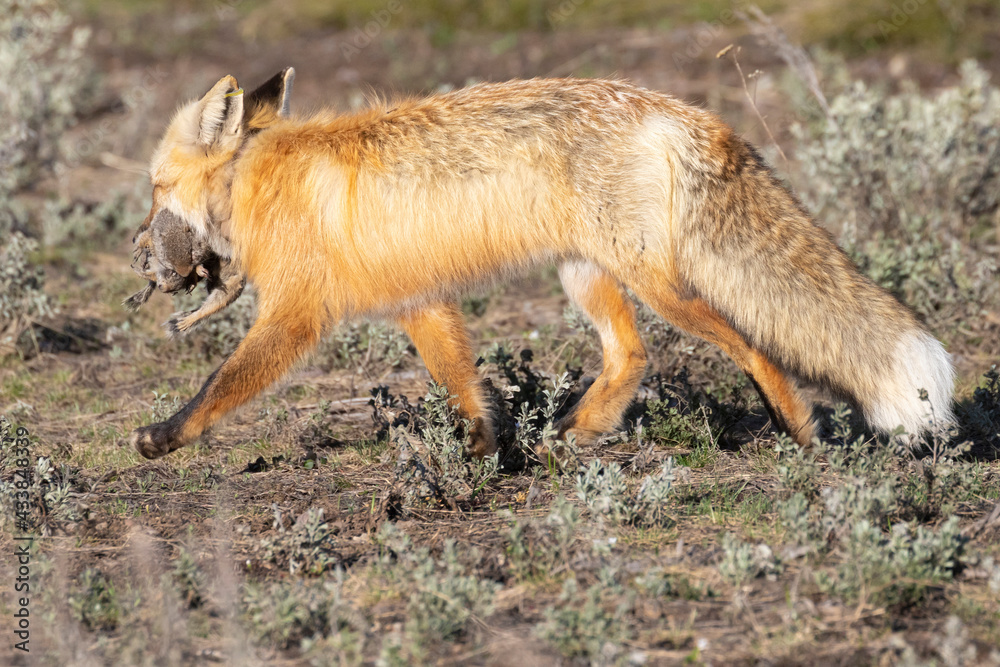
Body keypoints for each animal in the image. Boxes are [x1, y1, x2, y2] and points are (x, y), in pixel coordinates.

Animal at [127, 67, 955, 461]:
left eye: (154, 188)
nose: (139, 254)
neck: (257, 180)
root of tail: (684, 112)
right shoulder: (418, 300)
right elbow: (463, 384)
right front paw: (485, 454)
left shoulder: (298, 312)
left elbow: (221, 383)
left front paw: (164, 436)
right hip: (586, 276)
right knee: (631, 356)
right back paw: (573, 434)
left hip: (662, 286)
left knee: (751, 344)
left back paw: (799, 431)